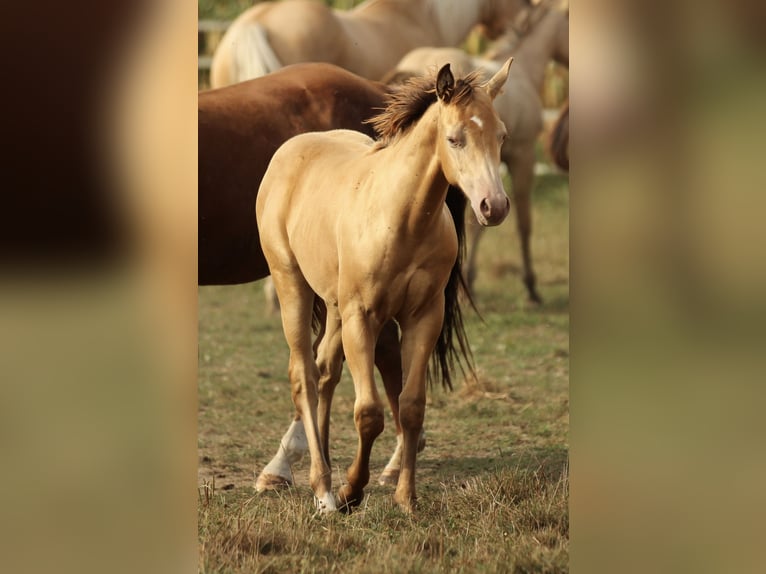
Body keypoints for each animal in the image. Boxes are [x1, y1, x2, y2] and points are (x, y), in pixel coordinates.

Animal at [258, 60, 516, 516]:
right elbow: (369, 413)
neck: (402, 218)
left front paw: (406, 498)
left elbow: (411, 406)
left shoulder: (424, 316)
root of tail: (290, 151)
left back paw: (324, 477)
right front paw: (351, 491)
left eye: (501, 135)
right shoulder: (364, 317)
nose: (495, 206)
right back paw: (323, 488)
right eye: (455, 138)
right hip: (293, 285)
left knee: (325, 372)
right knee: (304, 375)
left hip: (335, 305)